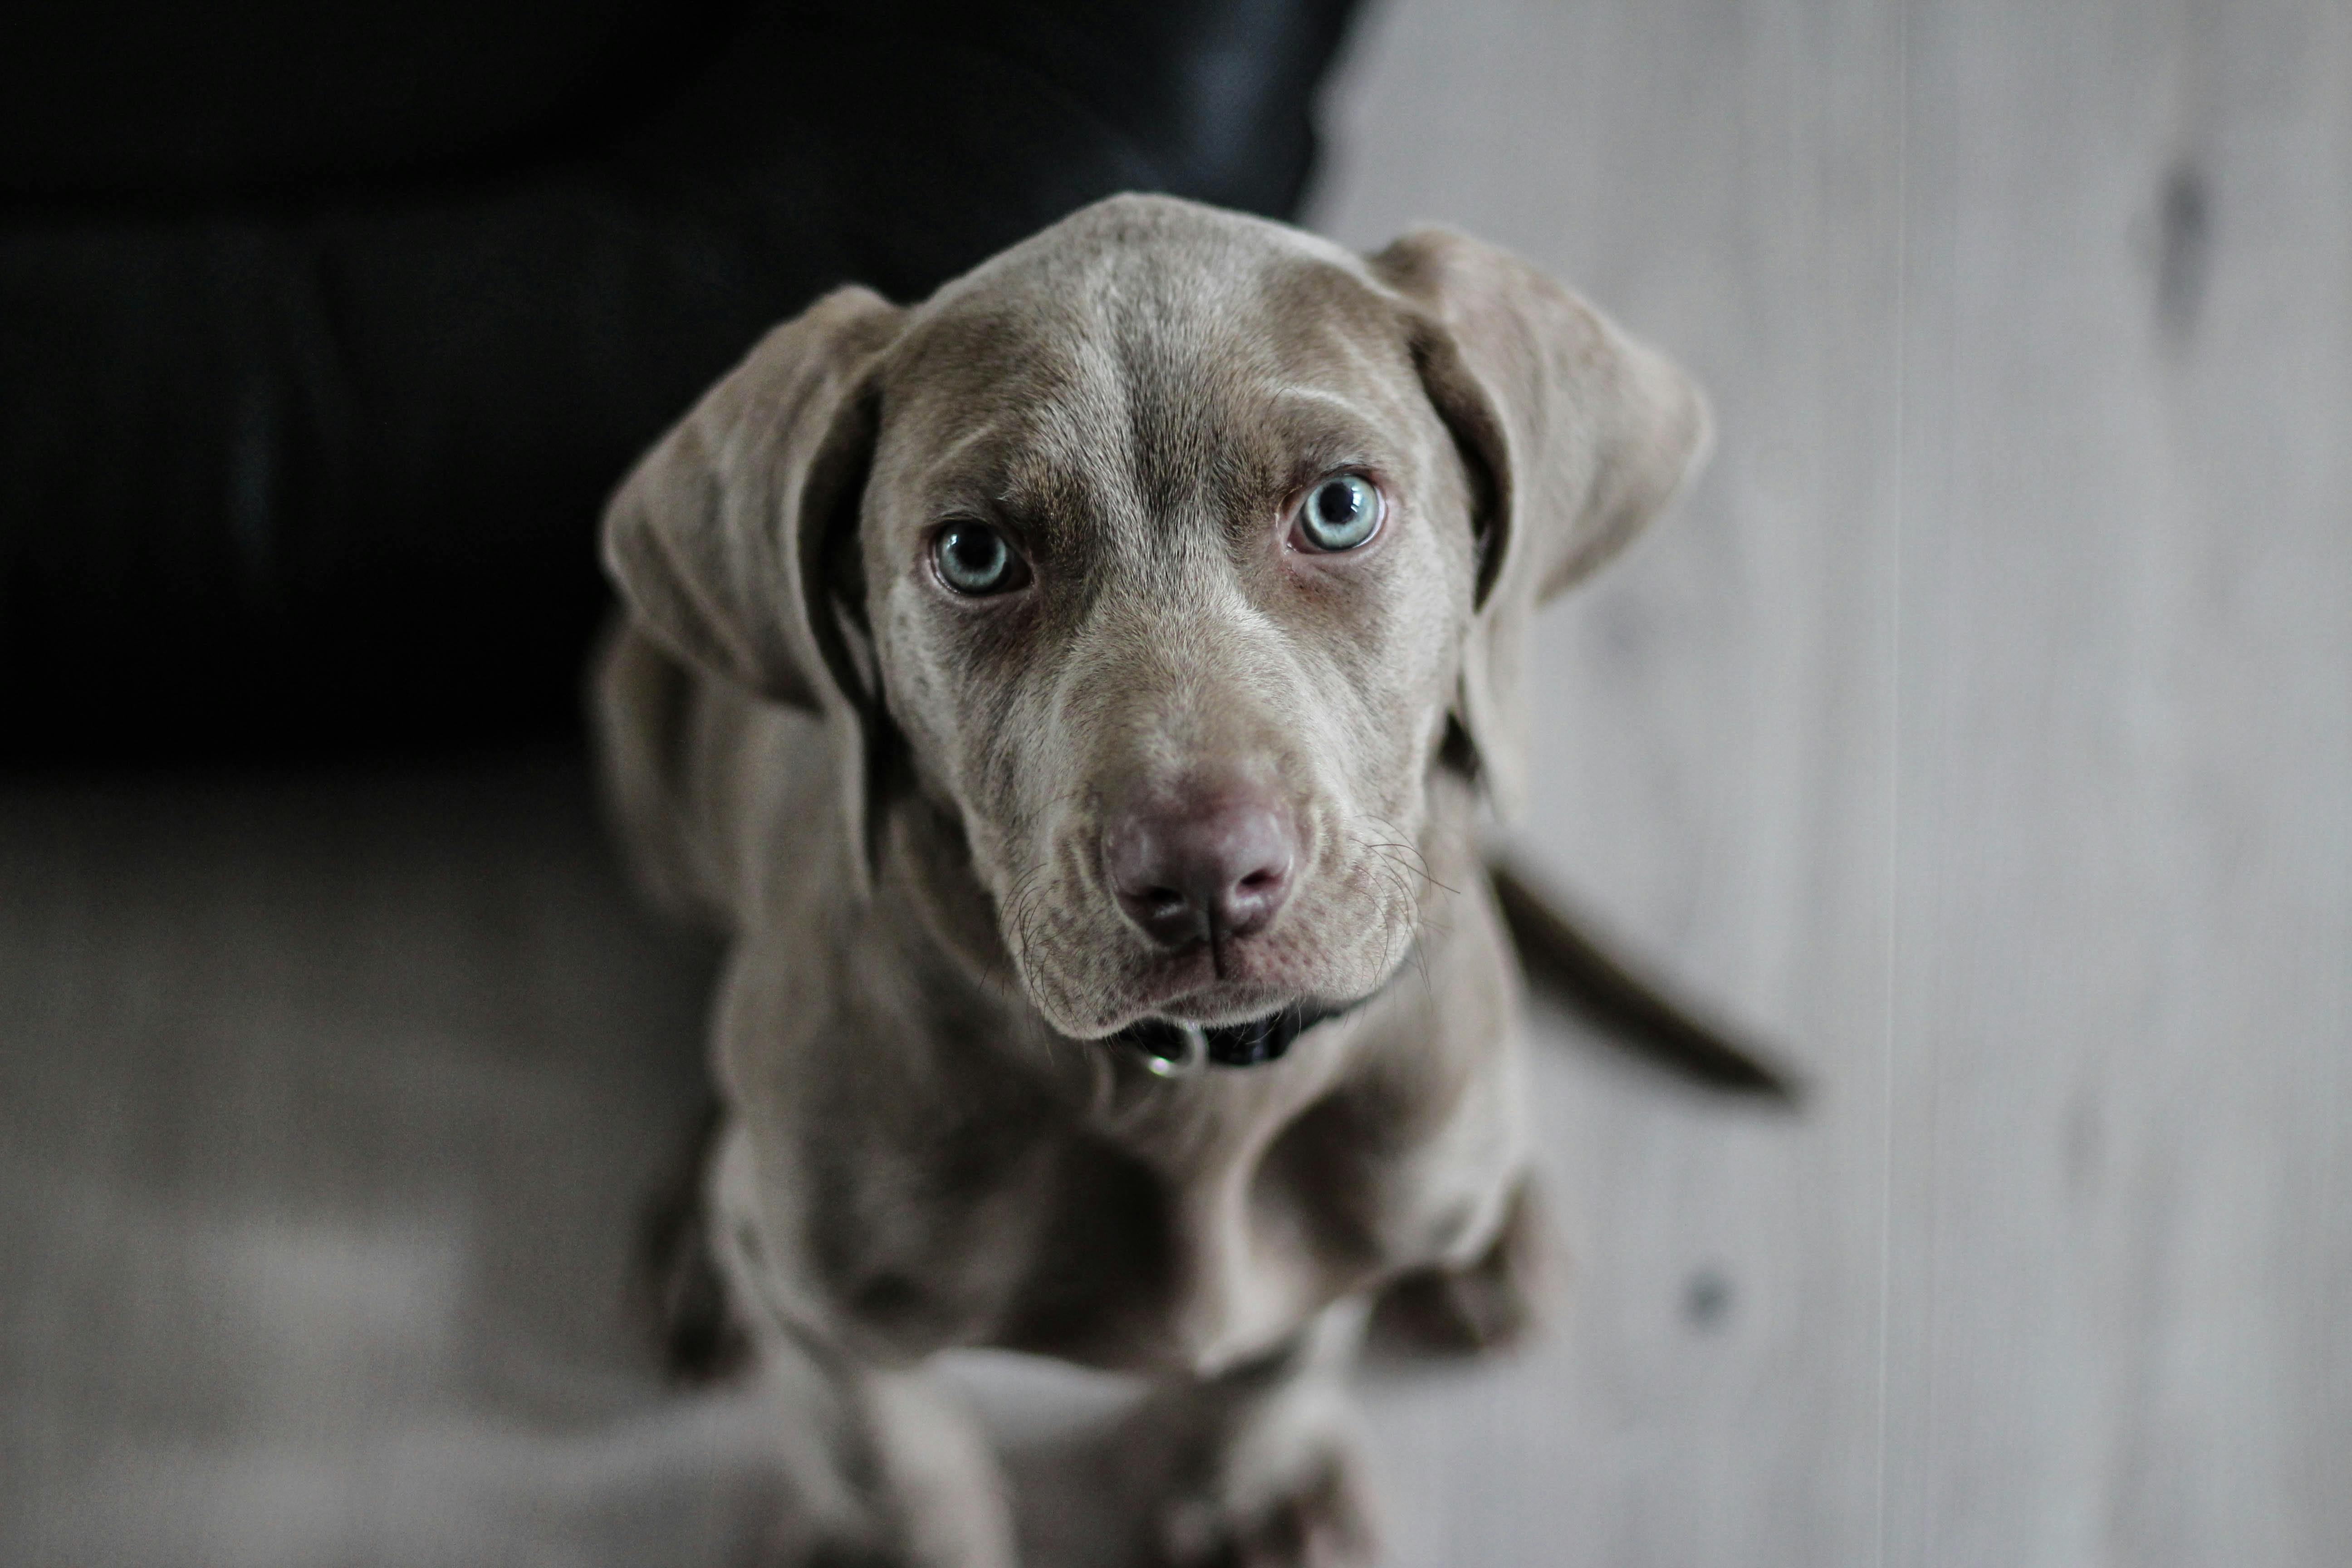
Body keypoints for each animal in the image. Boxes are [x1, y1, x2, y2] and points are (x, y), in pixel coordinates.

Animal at [593, 190, 1712, 1561]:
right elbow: (884, 1452)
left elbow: (1284, 1352)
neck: (1191, 1089)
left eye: (1339, 508)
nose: (1207, 876)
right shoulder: (825, 1307)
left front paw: (1250, 1488)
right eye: (974, 554)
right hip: (640, 739)